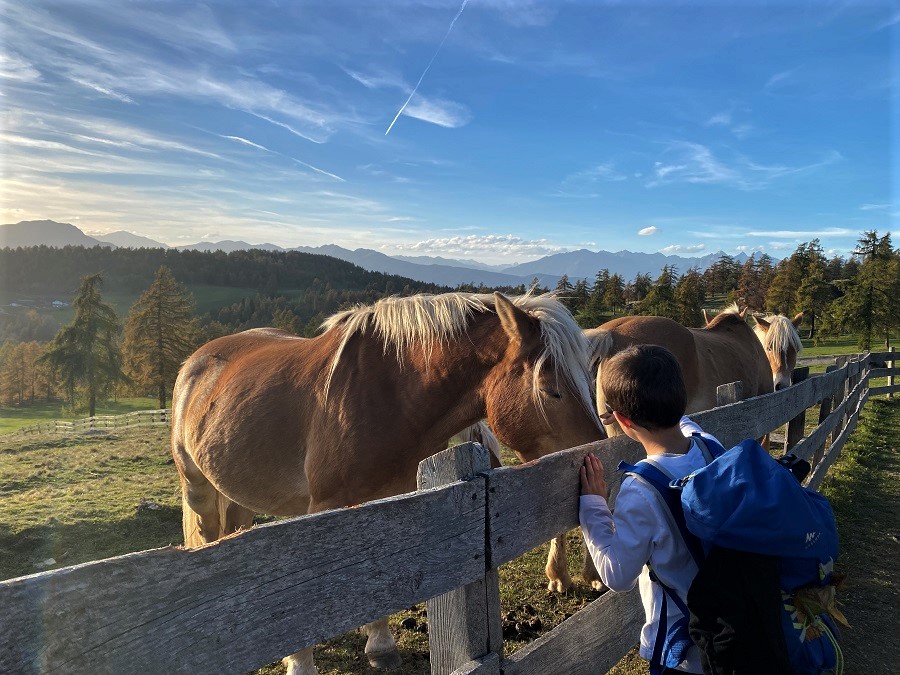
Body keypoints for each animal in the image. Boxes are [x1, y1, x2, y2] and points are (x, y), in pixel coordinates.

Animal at [169, 292, 604, 675]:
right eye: (551, 390)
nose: (603, 454)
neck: (390, 397)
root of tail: (196, 361)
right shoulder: (323, 507)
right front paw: (300, 663)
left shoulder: (392, 500)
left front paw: (379, 647)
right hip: (198, 488)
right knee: (207, 538)